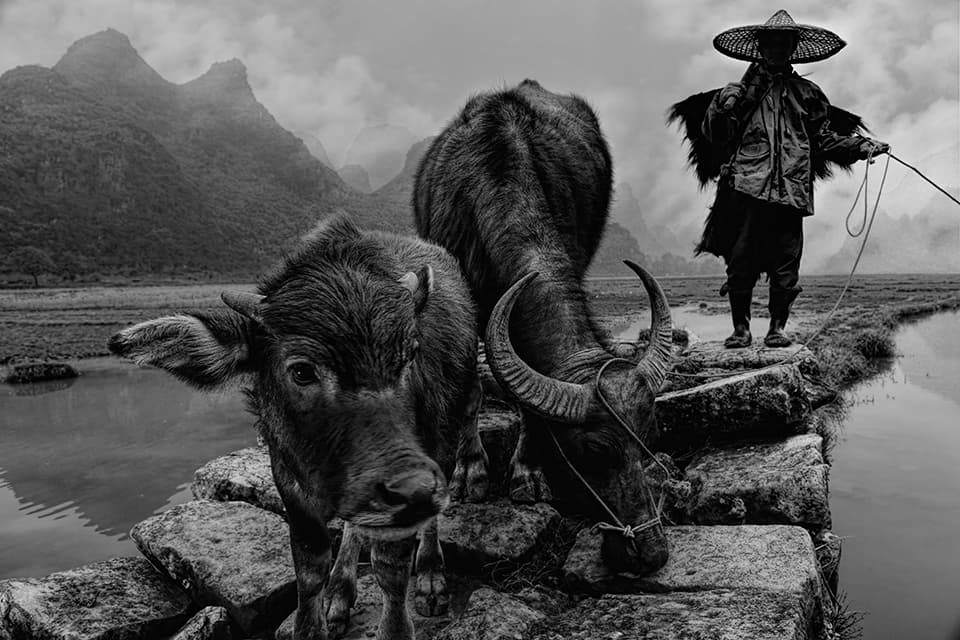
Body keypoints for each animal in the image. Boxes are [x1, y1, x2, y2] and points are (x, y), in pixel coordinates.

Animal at [109, 215, 484, 640]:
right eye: (302, 371)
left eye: (410, 356)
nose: (413, 489)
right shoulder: (290, 480)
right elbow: (309, 567)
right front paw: (316, 616)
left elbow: (391, 569)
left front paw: (401, 614)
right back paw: (340, 591)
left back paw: (431, 573)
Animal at [414, 79, 674, 574]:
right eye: (592, 452)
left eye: (648, 439)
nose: (650, 553)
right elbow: (471, 388)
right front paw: (469, 472)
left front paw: (528, 474)